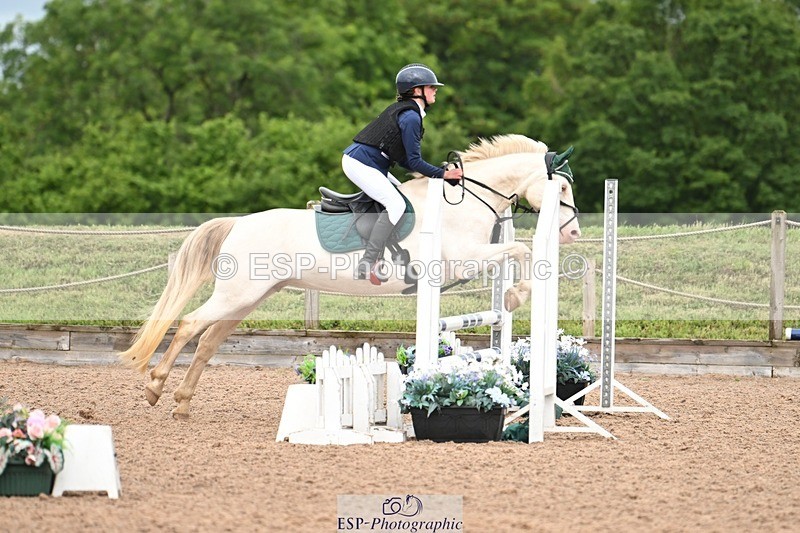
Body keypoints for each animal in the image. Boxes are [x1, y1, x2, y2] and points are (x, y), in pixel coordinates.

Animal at [119, 134, 581, 419]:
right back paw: (155, 387)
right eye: (560, 190)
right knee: (190, 326)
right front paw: (516, 296)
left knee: (208, 341)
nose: (573, 233)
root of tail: (238, 223)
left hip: (249, 298)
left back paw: (181, 403)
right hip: (236, 295)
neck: (464, 201)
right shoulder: (464, 260)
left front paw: (513, 295)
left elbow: (517, 253)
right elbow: (522, 250)